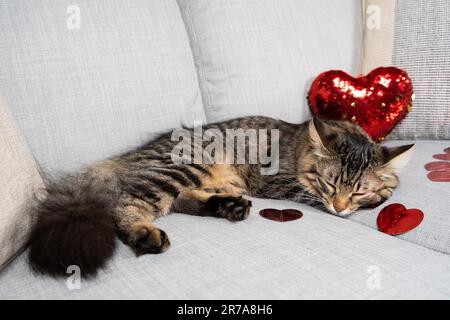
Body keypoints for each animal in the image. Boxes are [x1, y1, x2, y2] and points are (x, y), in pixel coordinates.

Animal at [29, 116, 414, 276]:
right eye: (330, 186)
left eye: (357, 189)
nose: (340, 207)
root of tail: (125, 158)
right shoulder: (277, 183)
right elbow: (304, 192)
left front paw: (385, 188)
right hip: (185, 167)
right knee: (128, 204)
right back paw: (145, 235)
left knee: (180, 202)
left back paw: (229, 206)